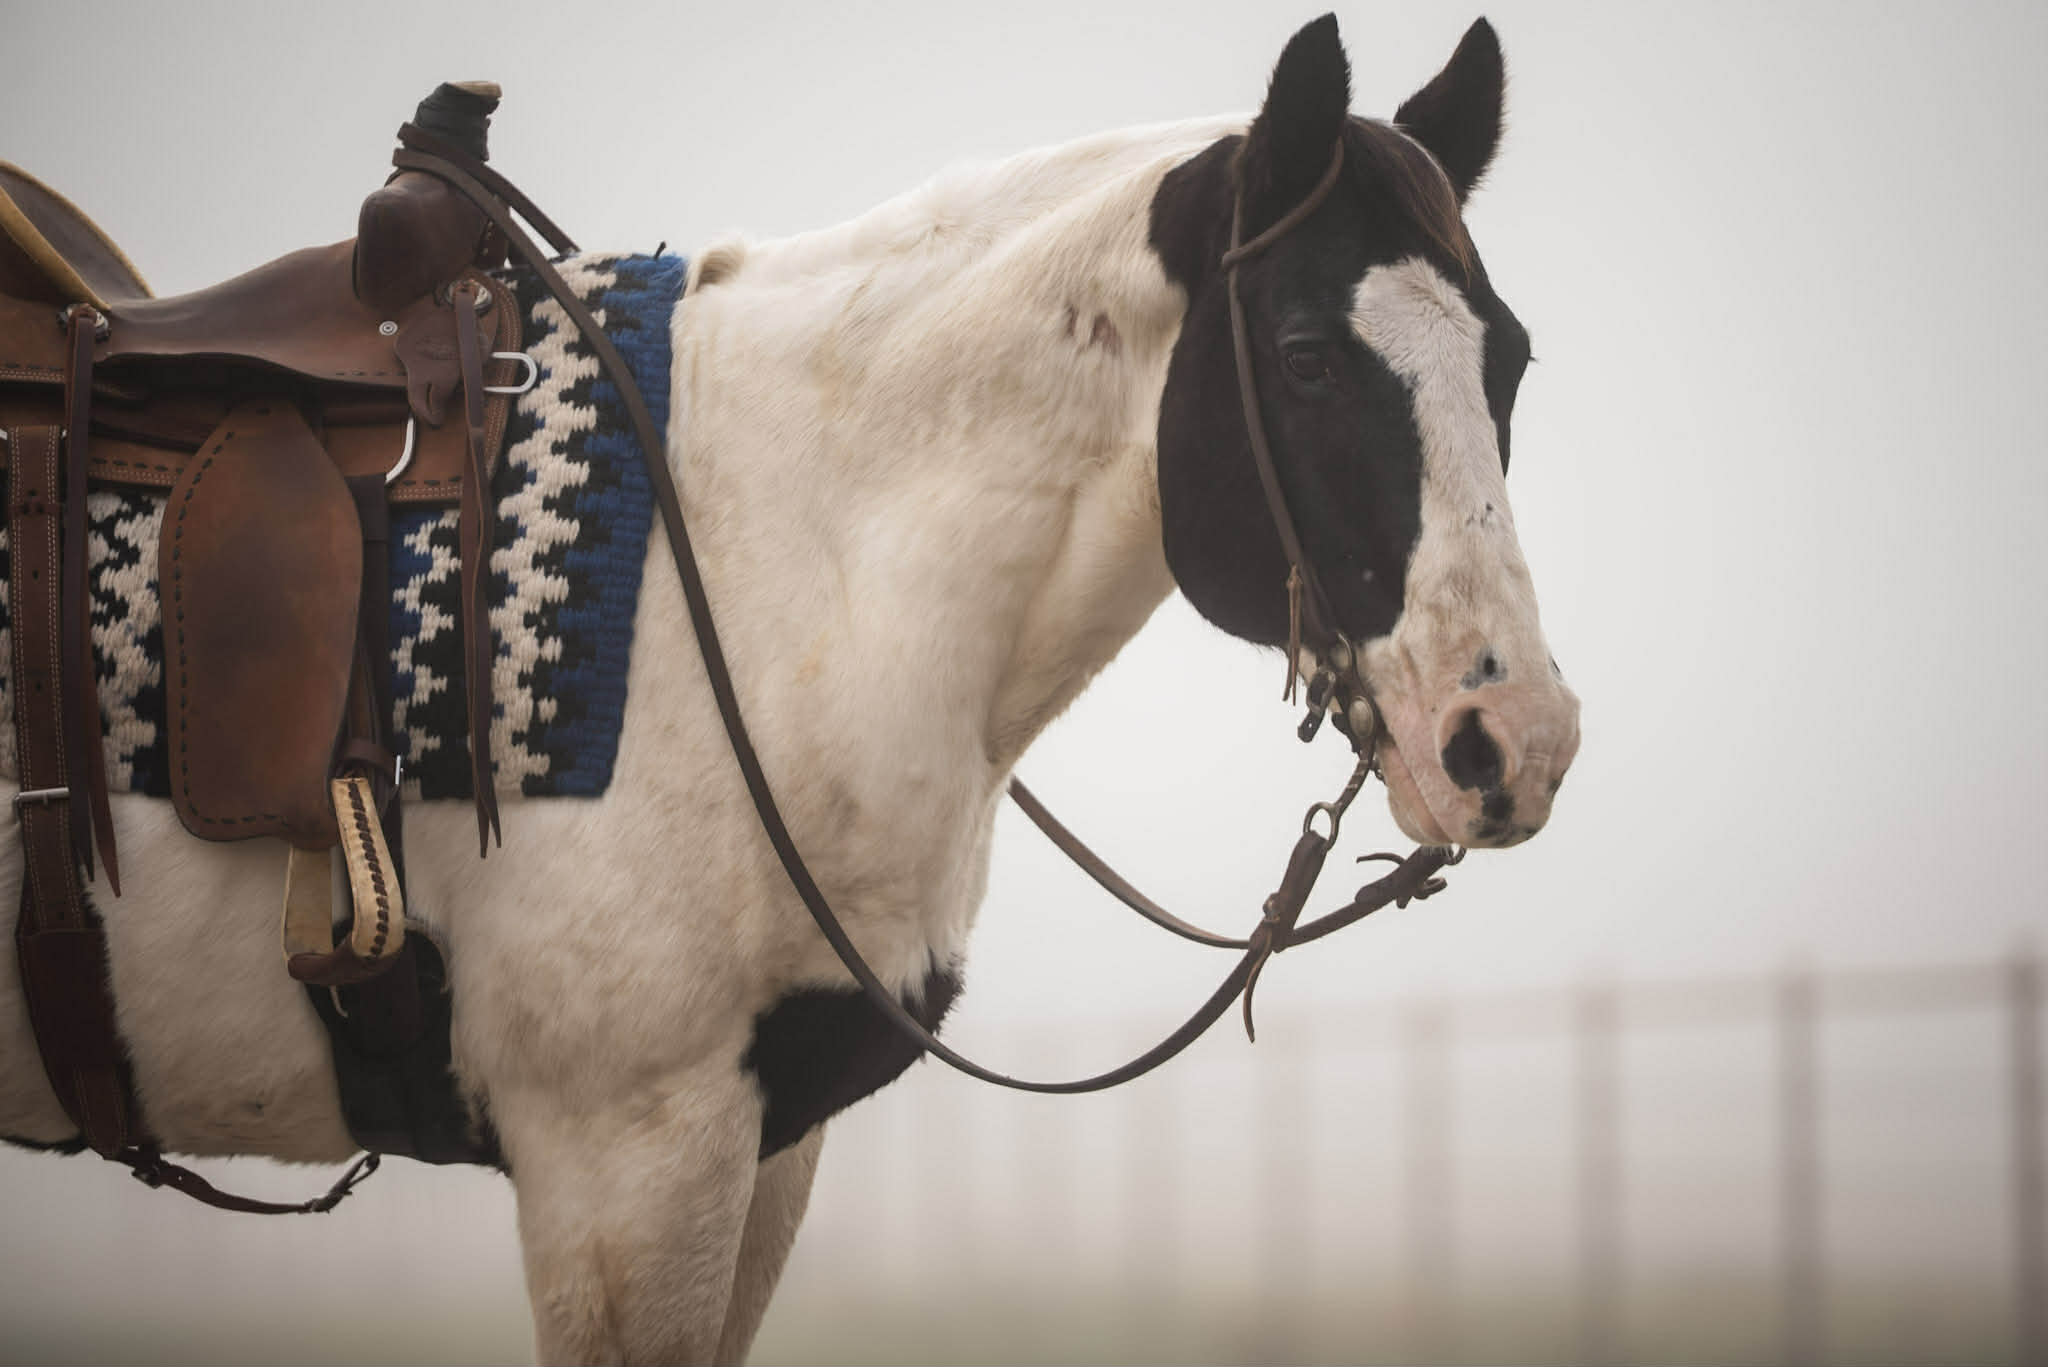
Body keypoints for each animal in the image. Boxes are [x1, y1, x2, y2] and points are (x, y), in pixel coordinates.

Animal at [0, 13, 1579, 1362]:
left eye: (1506, 358)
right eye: (1306, 358)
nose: (1516, 743)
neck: (776, 566)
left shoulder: (766, 1141)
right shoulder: (625, 1158)